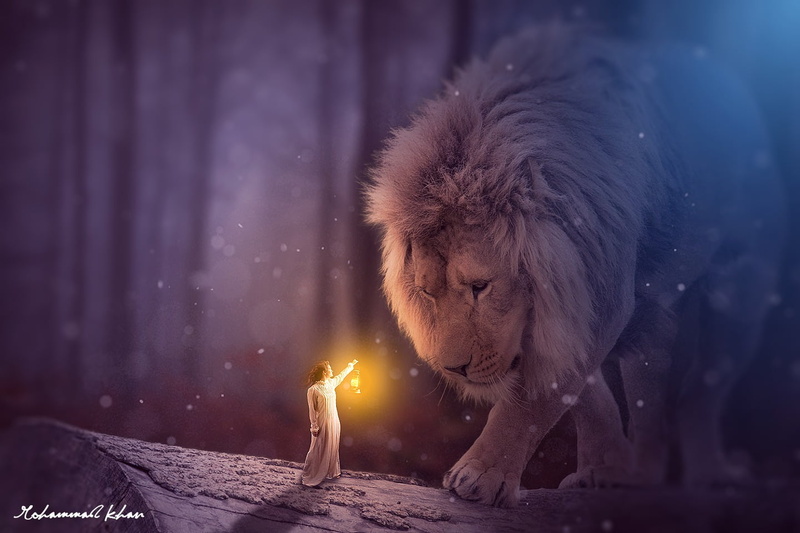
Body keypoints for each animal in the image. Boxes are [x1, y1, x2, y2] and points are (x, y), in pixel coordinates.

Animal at [366, 25, 784, 507]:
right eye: (427, 290)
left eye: (481, 286)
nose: (454, 370)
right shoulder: (580, 306)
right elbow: (580, 391)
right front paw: (606, 465)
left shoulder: (597, 299)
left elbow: (534, 398)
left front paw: (481, 475)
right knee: (651, 376)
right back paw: (640, 472)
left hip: (741, 285)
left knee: (703, 389)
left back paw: (710, 472)